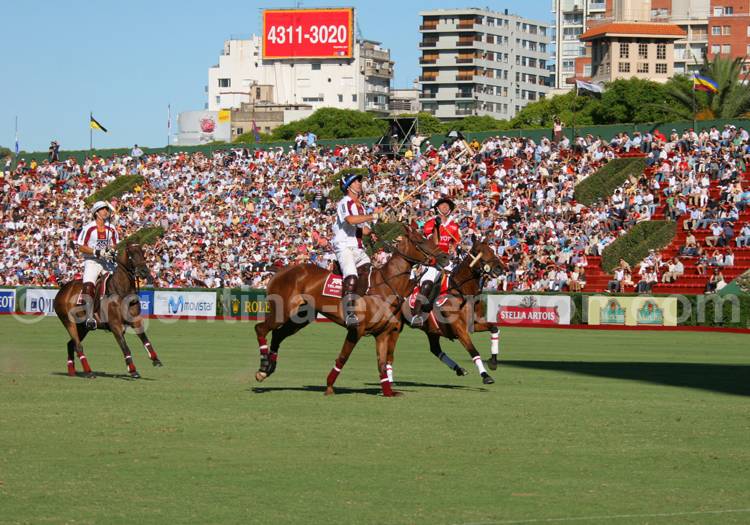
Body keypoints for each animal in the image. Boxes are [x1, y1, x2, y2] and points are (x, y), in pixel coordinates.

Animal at [53, 243, 163, 379]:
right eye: (131, 254)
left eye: (143, 253)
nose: (144, 272)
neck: (121, 290)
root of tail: (63, 288)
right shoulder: (115, 325)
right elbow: (125, 347)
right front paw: (132, 370)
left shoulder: (135, 320)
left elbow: (146, 340)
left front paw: (155, 359)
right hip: (69, 322)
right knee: (78, 346)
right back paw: (89, 372)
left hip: (83, 327)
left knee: (71, 344)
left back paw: (72, 371)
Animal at [254, 223, 449, 396]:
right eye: (421, 241)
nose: (446, 257)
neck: (386, 286)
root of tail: (281, 270)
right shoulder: (356, 329)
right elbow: (343, 357)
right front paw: (329, 387)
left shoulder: (382, 333)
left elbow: (381, 363)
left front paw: (388, 392)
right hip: (282, 311)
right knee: (261, 328)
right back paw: (263, 366)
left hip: (301, 317)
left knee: (278, 334)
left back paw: (267, 369)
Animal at [402, 238, 505, 384]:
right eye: (477, 251)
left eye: (492, 249)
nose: (499, 268)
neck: (463, 292)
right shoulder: (459, 329)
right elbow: (474, 351)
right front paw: (486, 376)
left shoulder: (473, 324)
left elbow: (494, 329)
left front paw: (493, 362)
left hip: (431, 330)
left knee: (435, 349)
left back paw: (459, 369)